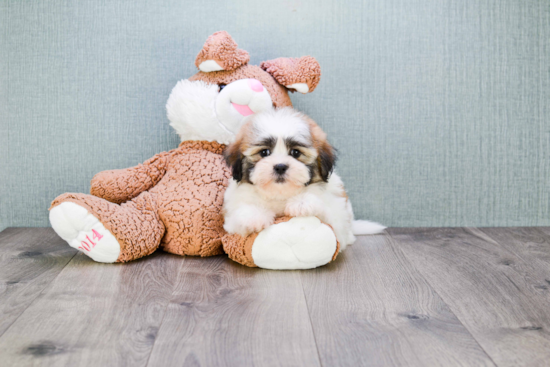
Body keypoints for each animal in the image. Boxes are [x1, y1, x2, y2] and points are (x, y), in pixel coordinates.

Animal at [222, 107, 386, 250]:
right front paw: (254, 216)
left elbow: (328, 216)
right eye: (264, 152)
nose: (280, 166)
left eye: (295, 152)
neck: (280, 194)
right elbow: (240, 215)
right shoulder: (231, 218)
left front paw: (302, 203)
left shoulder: (338, 217)